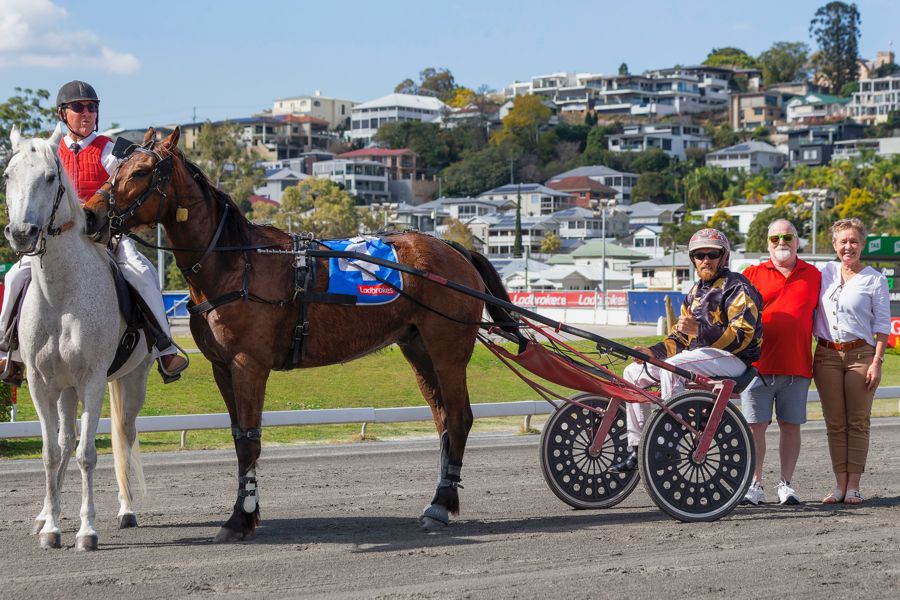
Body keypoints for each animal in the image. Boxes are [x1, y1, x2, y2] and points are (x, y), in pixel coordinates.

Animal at [3, 128, 154, 550]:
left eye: (50, 178)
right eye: (8, 175)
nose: (22, 235)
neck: (60, 293)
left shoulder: (92, 381)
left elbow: (89, 454)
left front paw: (87, 531)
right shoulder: (40, 384)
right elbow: (51, 452)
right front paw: (51, 528)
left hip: (130, 382)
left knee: (122, 435)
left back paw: (125, 511)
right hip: (64, 389)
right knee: (65, 441)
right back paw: (44, 515)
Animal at [83, 127, 521, 541]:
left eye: (140, 171)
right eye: (115, 169)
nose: (90, 215)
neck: (236, 263)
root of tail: (454, 248)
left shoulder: (249, 365)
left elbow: (251, 440)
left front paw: (240, 517)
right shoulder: (223, 367)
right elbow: (239, 438)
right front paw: (246, 512)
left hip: (448, 349)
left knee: (460, 418)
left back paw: (442, 505)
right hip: (418, 349)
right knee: (444, 419)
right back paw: (437, 501)